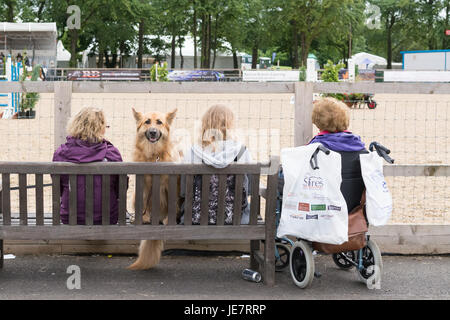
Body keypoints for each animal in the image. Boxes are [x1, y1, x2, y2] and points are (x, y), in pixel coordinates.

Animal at [126, 107, 179, 270]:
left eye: (159, 122)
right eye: (147, 122)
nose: (153, 132)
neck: (153, 154)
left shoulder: (169, 185)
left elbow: (172, 205)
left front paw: (169, 220)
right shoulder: (143, 185)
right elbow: (143, 203)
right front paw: (144, 218)